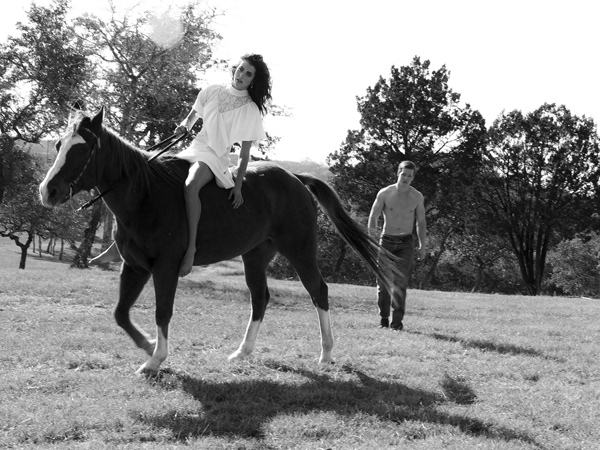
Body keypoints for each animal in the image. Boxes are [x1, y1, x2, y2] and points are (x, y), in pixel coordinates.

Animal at [39, 107, 402, 375]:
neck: (144, 195)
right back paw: (243, 352)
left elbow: (162, 311)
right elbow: (120, 313)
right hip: (255, 256)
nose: (47, 191)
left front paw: (156, 357)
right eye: (58, 145)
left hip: (299, 251)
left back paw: (326, 353)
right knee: (260, 298)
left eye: (82, 148)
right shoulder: (135, 267)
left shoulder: (164, 268)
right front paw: (148, 347)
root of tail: (295, 178)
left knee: (318, 292)